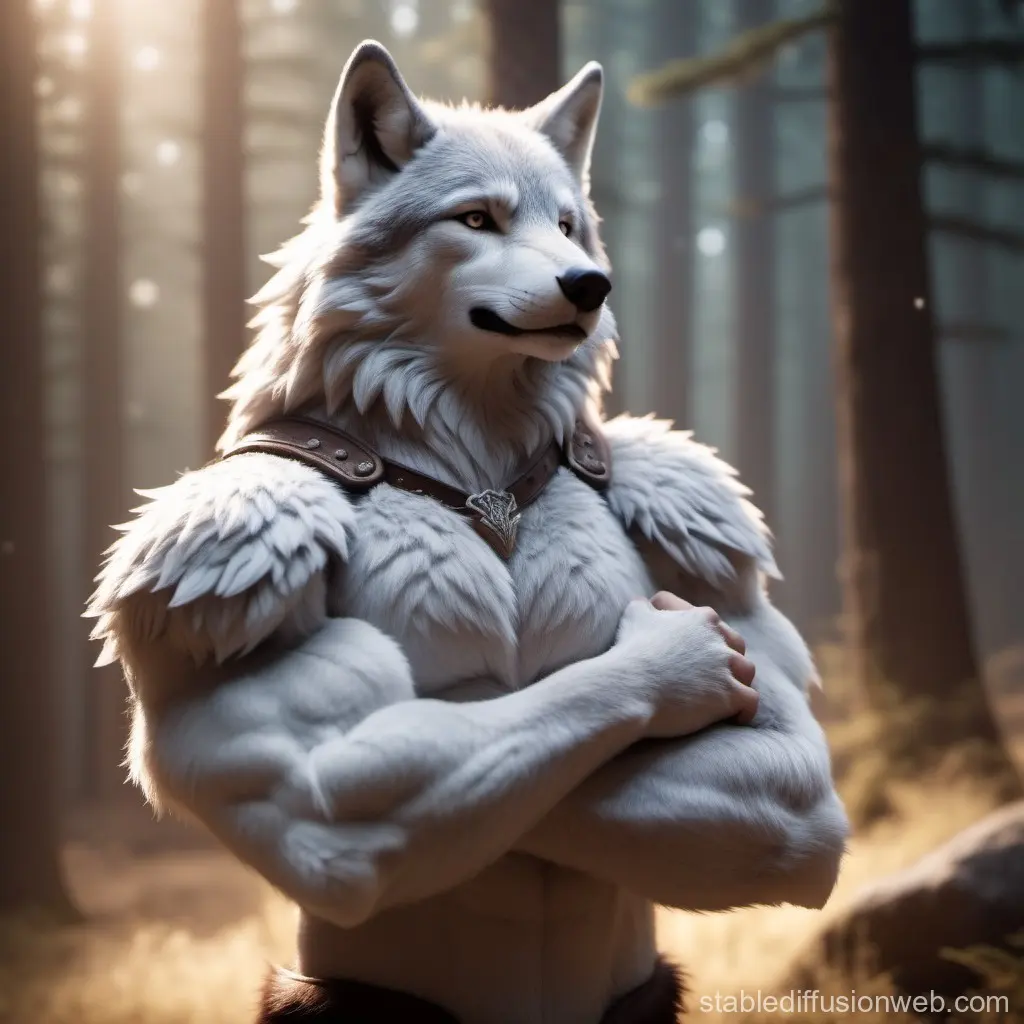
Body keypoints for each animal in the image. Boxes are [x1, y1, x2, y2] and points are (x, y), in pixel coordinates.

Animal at [88, 41, 848, 1024]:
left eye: (567, 226)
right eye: (478, 218)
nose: (589, 285)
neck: (479, 471)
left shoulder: (704, 527)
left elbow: (786, 769)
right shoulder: (226, 552)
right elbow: (337, 779)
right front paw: (670, 664)